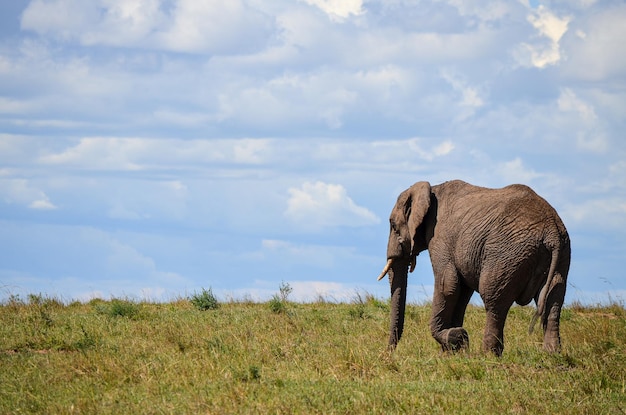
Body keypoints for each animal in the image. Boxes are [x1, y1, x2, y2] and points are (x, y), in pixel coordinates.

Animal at [376, 180, 572, 356]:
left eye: (393, 225)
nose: (388, 354)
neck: (431, 190)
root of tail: (551, 232)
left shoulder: (440, 237)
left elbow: (448, 286)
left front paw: (457, 338)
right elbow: (461, 292)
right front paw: (452, 352)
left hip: (507, 255)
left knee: (494, 301)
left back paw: (488, 356)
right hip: (561, 254)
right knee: (553, 300)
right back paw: (552, 354)